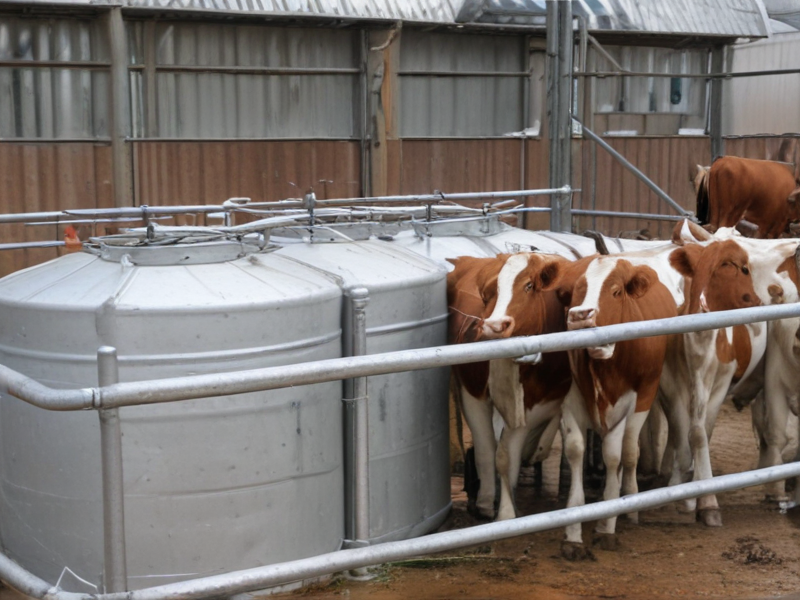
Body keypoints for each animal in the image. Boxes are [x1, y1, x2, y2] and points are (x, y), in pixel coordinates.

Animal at [446, 252, 572, 520]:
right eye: (489, 291)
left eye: (529, 285)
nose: (494, 325)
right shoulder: (473, 394)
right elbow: (489, 451)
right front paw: (488, 504)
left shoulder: (539, 401)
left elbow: (508, 452)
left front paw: (504, 509)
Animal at [552, 253, 680, 556]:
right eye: (576, 290)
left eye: (616, 291)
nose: (581, 315)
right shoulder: (570, 400)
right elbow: (575, 450)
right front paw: (573, 534)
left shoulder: (634, 402)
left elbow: (614, 455)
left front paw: (606, 526)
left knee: (630, 451)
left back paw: (630, 501)